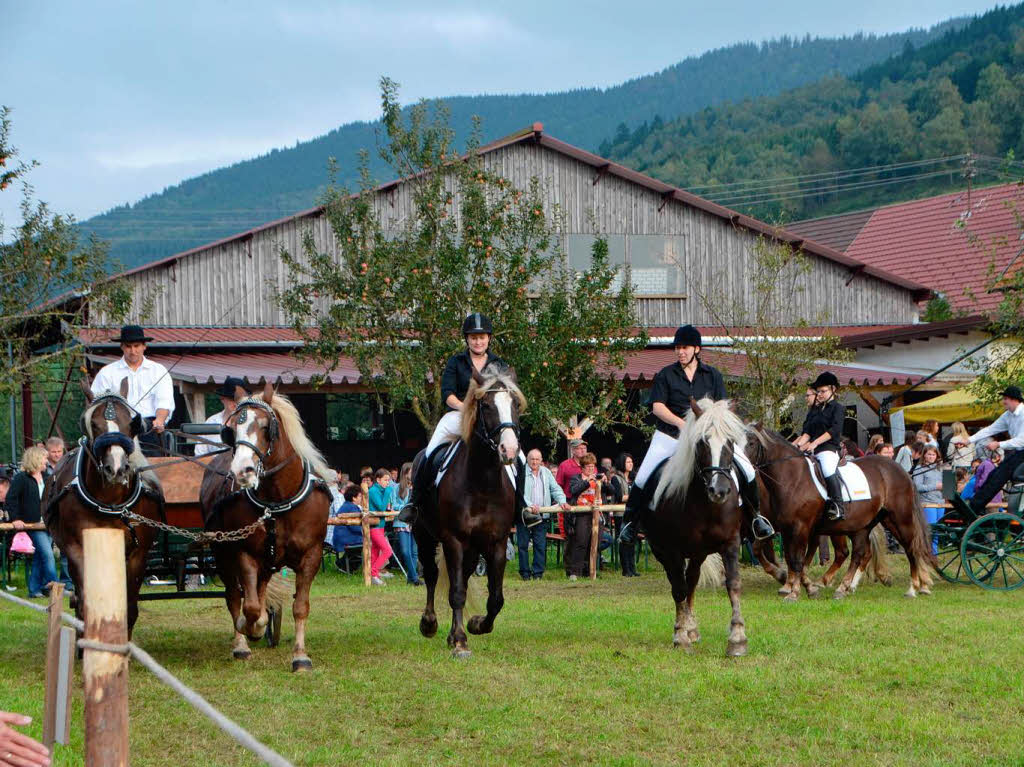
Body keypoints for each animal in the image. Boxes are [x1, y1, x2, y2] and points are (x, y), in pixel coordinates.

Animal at [44, 374, 162, 634]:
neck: (110, 502)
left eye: (131, 423)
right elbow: (86, 604)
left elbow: (129, 607)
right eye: (93, 424)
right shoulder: (76, 548)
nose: (116, 469)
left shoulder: (138, 553)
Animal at [196, 382, 331, 671]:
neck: (278, 499)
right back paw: (241, 644)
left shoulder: (311, 555)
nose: (242, 471)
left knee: (259, 588)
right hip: (223, 553)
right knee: (234, 597)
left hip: (268, 560)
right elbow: (248, 606)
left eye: (266, 426)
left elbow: (300, 606)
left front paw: (300, 656)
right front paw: (252, 627)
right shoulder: (245, 553)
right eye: (231, 429)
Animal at [411, 364, 524, 659]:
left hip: (473, 548)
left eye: (514, 404)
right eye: (486, 405)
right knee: (431, 575)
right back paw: (429, 623)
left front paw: (476, 625)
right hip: (424, 536)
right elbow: (457, 592)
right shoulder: (454, 540)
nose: (509, 449)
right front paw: (461, 642)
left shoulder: (496, 542)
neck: (482, 483)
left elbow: (496, 598)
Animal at [647, 397, 745, 655]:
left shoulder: (731, 543)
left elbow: (733, 583)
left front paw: (737, 638)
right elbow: (678, 589)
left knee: (691, 580)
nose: (719, 490)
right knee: (678, 585)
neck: (706, 506)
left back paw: (692, 628)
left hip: (698, 553)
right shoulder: (671, 550)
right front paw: (680, 636)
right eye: (702, 443)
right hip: (663, 552)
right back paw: (684, 628)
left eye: (730, 441)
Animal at [745, 423, 937, 598]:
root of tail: (901, 470)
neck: (793, 477)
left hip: (899, 519)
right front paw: (796, 585)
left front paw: (793, 590)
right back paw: (844, 587)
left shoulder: (800, 527)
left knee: (910, 547)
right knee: (859, 553)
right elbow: (789, 557)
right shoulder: (786, 528)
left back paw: (913, 588)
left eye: (752, 442)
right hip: (863, 525)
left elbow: (797, 558)